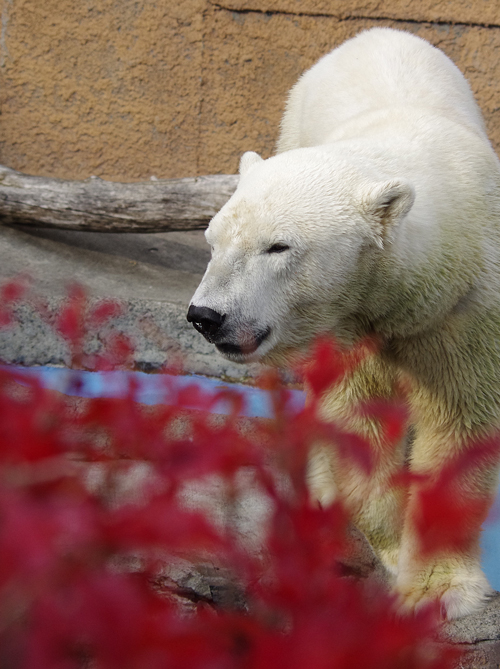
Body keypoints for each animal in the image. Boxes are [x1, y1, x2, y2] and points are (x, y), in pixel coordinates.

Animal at [187, 28, 500, 620]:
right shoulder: (342, 322)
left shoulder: (464, 308)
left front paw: (439, 589)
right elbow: (357, 417)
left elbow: (459, 425)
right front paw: (396, 552)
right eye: (213, 242)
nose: (206, 316)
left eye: (278, 246)